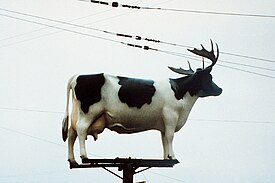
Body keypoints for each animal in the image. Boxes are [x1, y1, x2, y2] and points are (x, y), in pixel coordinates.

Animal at [62, 41, 222, 166]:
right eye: (210, 77)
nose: (220, 89)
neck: (181, 92)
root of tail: (77, 76)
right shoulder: (171, 115)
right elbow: (170, 136)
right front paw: (173, 157)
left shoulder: (163, 122)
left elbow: (164, 139)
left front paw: (167, 158)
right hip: (89, 111)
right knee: (81, 129)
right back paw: (83, 156)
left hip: (77, 112)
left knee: (71, 132)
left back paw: (72, 160)